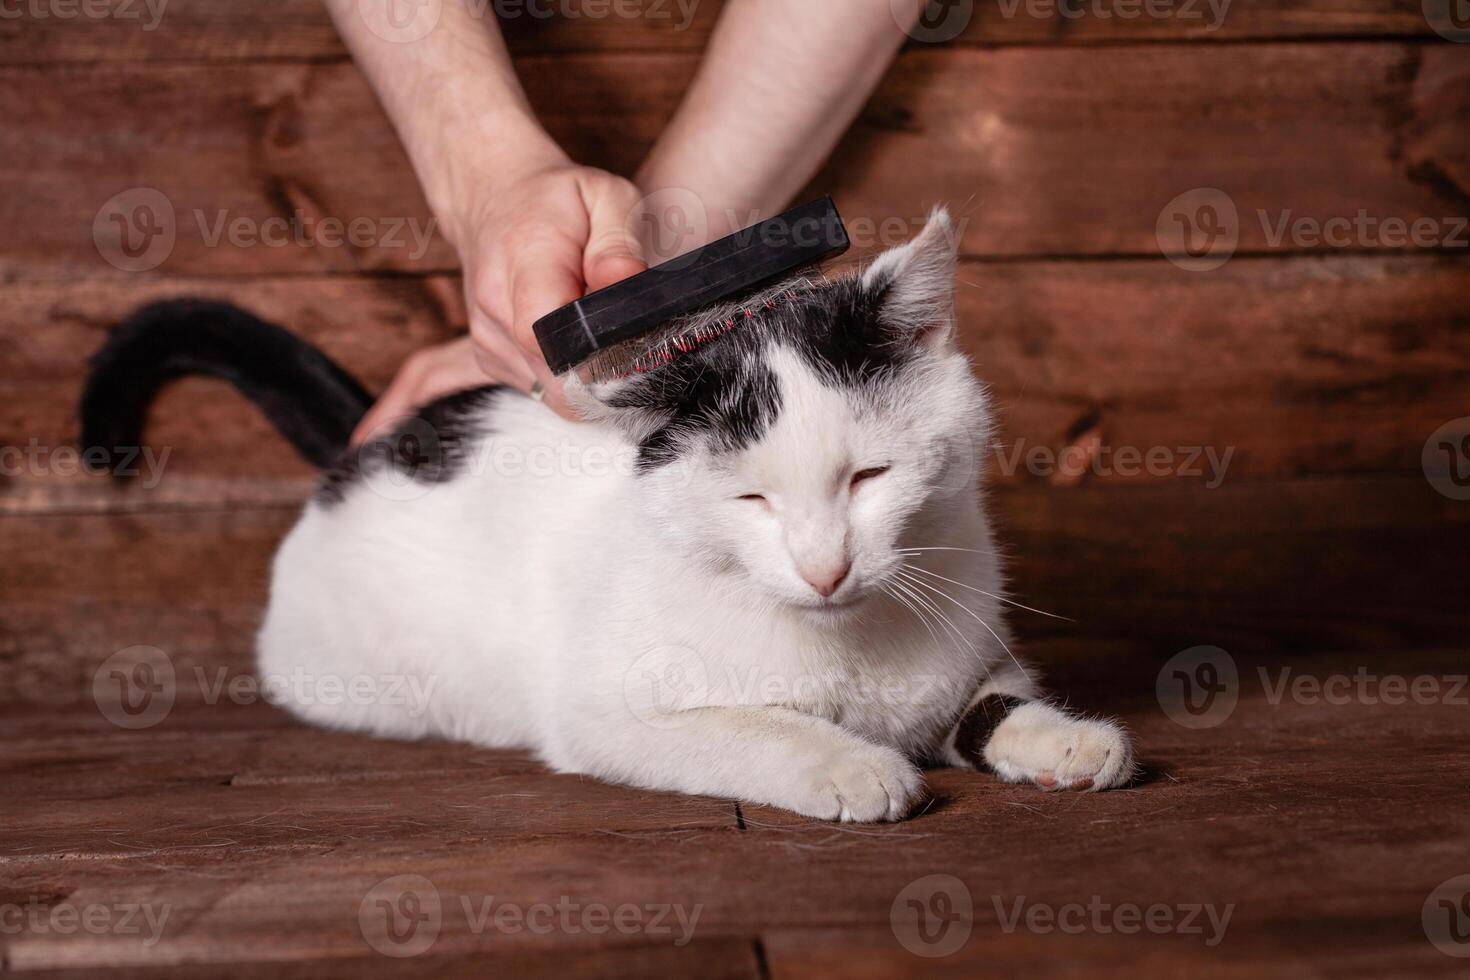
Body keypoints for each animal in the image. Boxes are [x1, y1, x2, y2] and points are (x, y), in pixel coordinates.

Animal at [80, 208, 1134, 822]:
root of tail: (372, 440)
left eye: (868, 478)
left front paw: (1067, 739)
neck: (848, 648)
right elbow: (749, 725)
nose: (826, 568)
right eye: (751, 497)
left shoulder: (964, 651)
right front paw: (851, 765)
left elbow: (991, 697)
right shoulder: (604, 712)